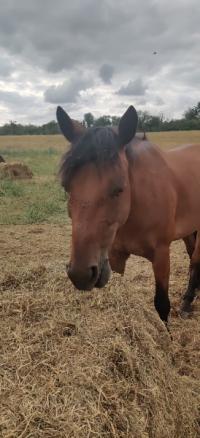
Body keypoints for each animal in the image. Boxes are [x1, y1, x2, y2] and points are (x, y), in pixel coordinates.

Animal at [55, 104, 200, 324]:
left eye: (119, 189)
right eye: (66, 187)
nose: (80, 274)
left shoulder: (161, 254)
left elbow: (162, 305)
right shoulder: (115, 254)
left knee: (196, 261)